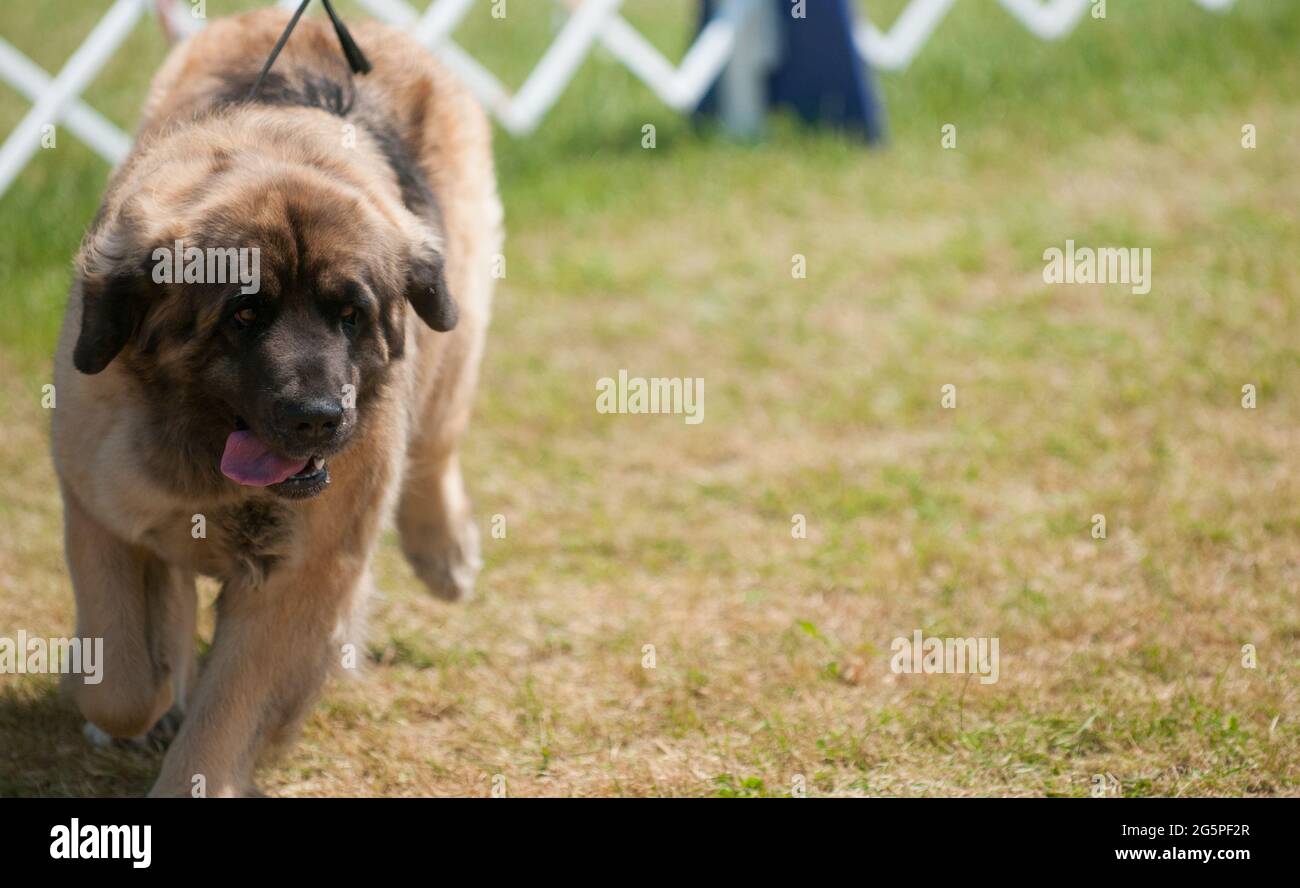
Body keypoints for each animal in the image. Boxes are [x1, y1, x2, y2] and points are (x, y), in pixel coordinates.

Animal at [48, 6, 501, 800]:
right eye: (243, 315)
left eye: (351, 314)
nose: (318, 416)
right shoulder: (98, 507)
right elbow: (122, 680)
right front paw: (136, 698)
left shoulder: (303, 572)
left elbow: (228, 714)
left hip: (459, 330)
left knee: (437, 447)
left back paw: (444, 553)